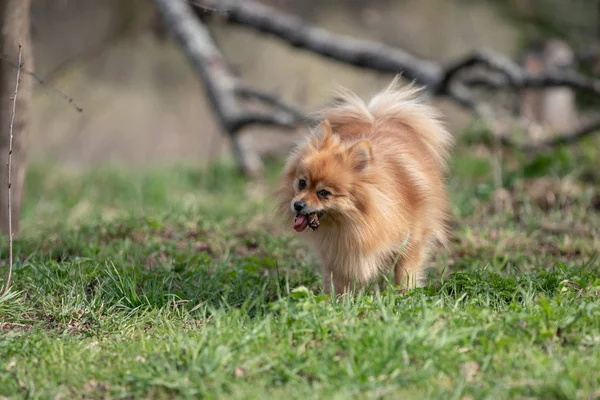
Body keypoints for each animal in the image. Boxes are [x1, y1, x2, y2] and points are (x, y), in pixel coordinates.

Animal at [276, 78, 450, 296]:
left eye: (324, 193)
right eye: (302, 183)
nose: (297, 204)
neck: (355, 223)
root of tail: (373, 116)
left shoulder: (411, 242)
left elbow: (405, 274)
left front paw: (405, 296)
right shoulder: (338, 256)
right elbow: (339, 284)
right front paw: (339, 301)